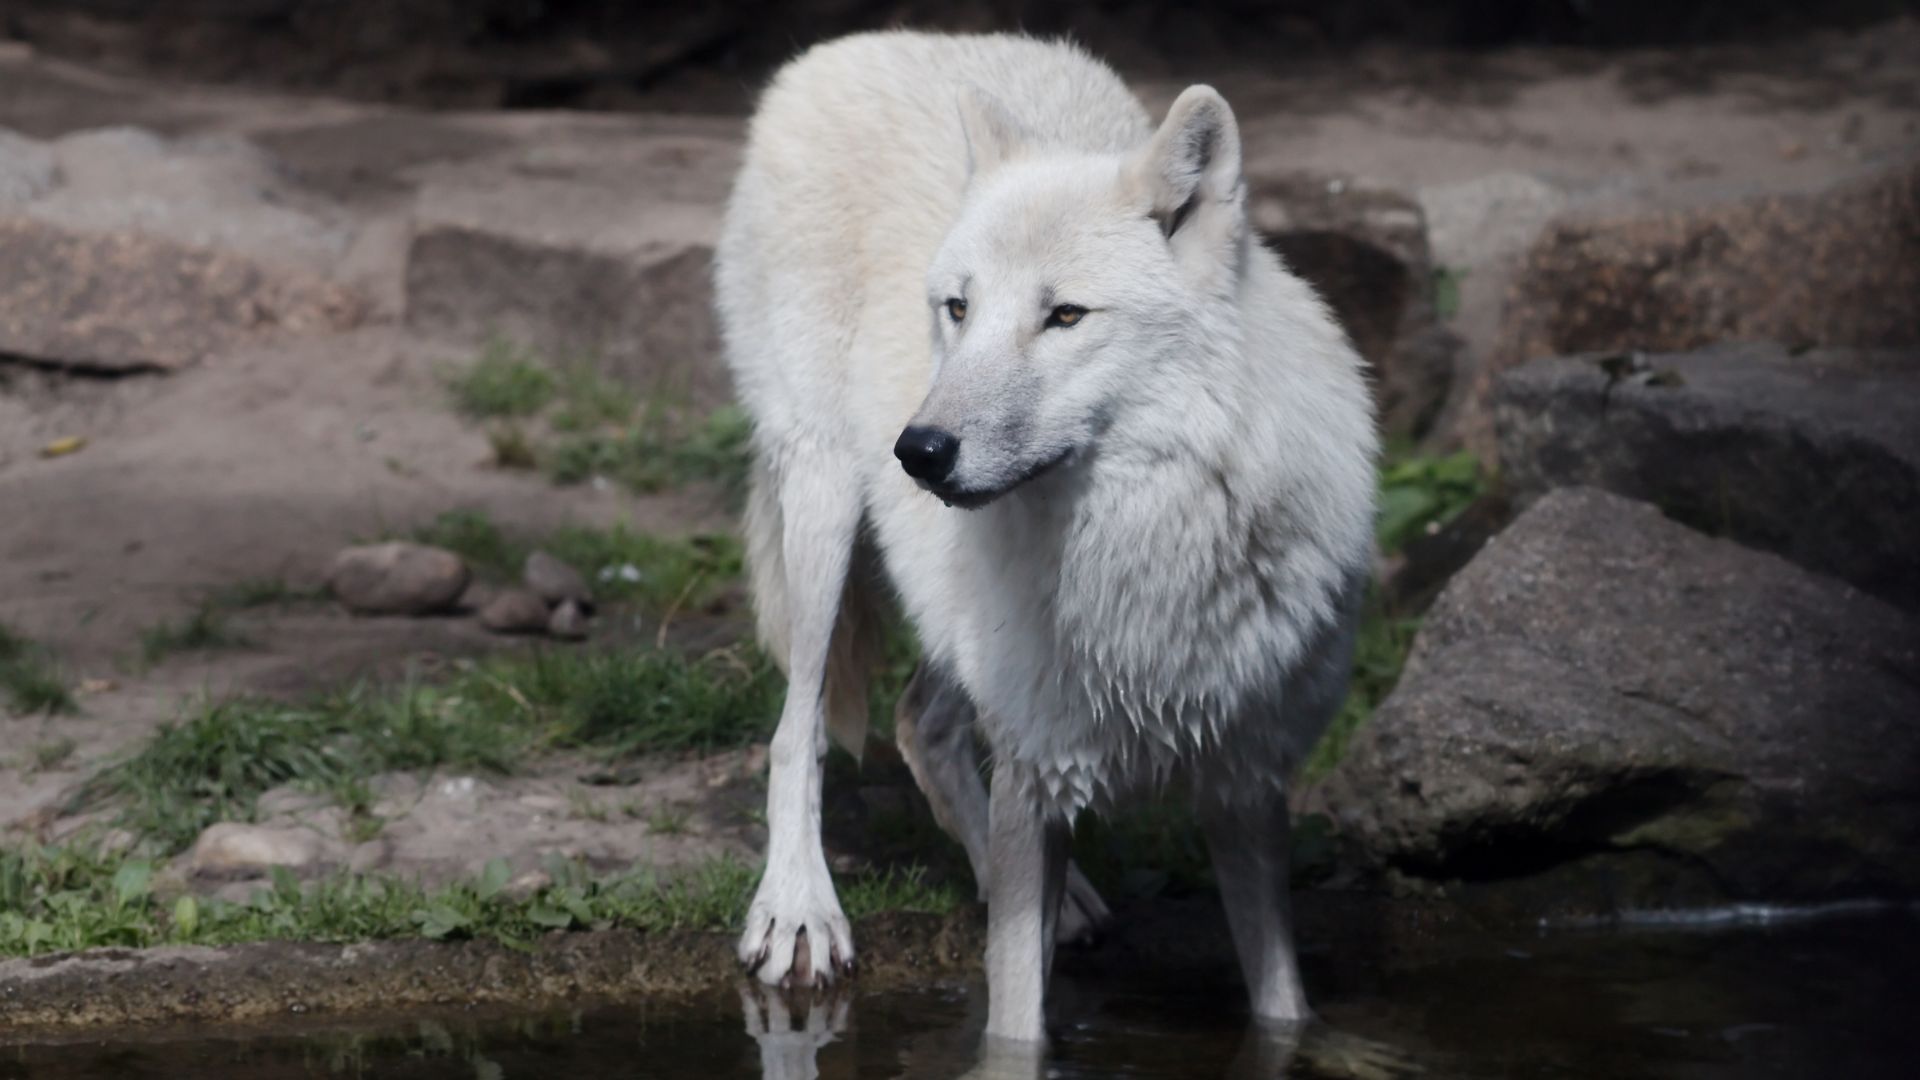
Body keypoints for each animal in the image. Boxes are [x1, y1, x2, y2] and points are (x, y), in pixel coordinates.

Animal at [715, 31, 1377, 1042]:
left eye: (1064, 315)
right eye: (959, 307)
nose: (917, 450)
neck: (1146, 545)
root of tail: (857, 45)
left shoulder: (1248, 786)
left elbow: (1281, 1005)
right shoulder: (1035, 775)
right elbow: (1014, 1027)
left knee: (920, 721)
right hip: (822, 504)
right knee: (800, 731)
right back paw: (799, 912)